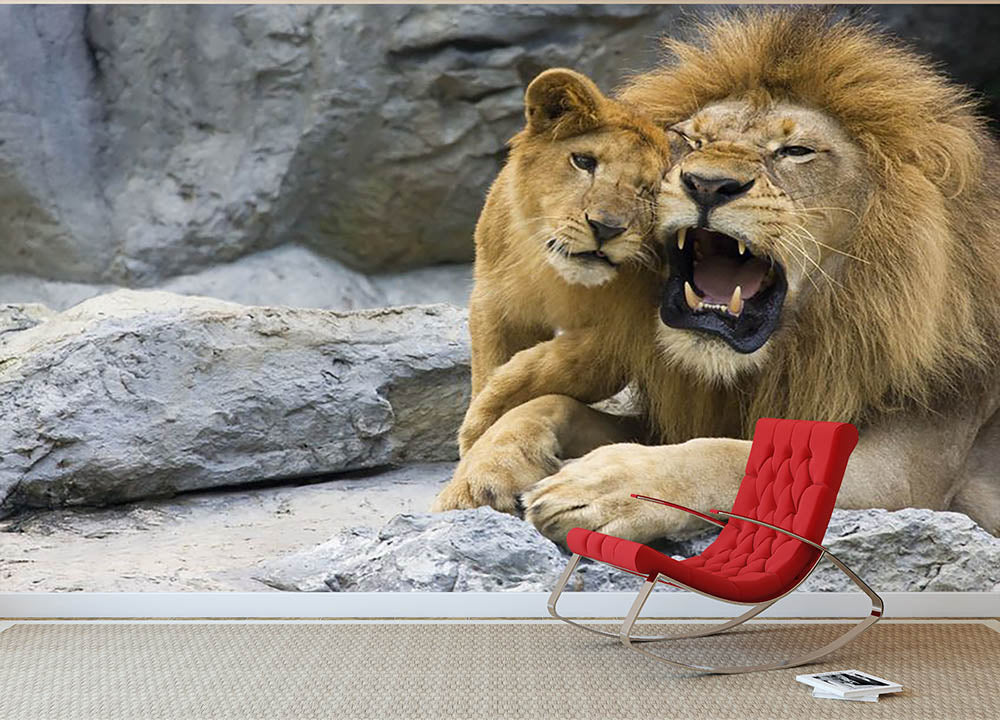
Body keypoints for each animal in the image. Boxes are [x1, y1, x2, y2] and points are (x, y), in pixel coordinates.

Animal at [431, 69, 671, 512]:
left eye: (649, 189)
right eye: (584, 161)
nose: (606, 228)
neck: (561, 279)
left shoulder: (640, 326)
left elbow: (569, 364)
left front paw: (488, 414)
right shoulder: (495, 304)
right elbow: (490, 364)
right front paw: (478, 442)